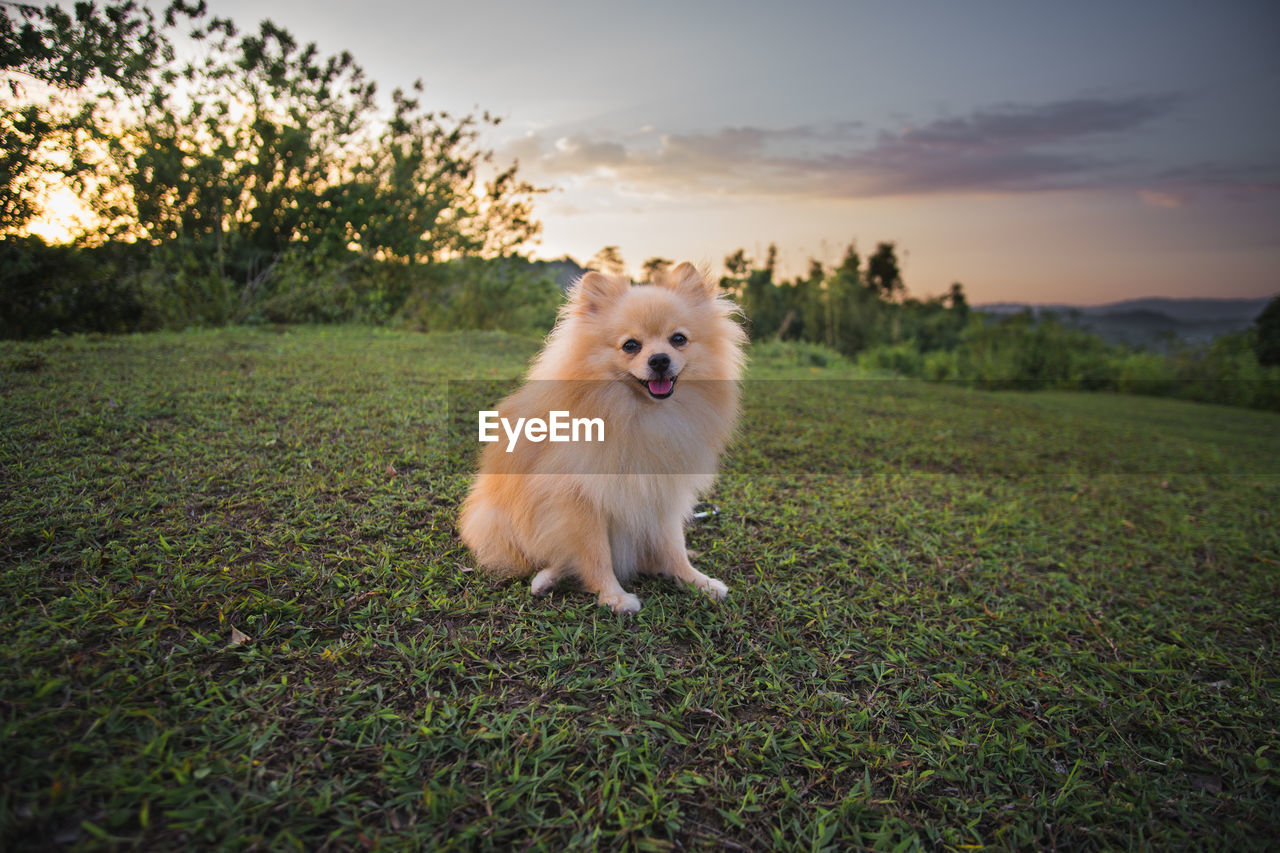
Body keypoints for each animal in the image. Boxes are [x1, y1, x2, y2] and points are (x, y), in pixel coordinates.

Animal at [458, 261, 747, 612]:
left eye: (678, 339)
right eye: (631, 345)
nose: (660, 360)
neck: (641, 415)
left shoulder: (661, 495)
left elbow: (674, 546)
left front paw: (695, 580)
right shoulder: (579, 499)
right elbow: (595, 554)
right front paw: (613, 596)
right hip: (500, 519)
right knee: (554, 556)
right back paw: (545, 579)